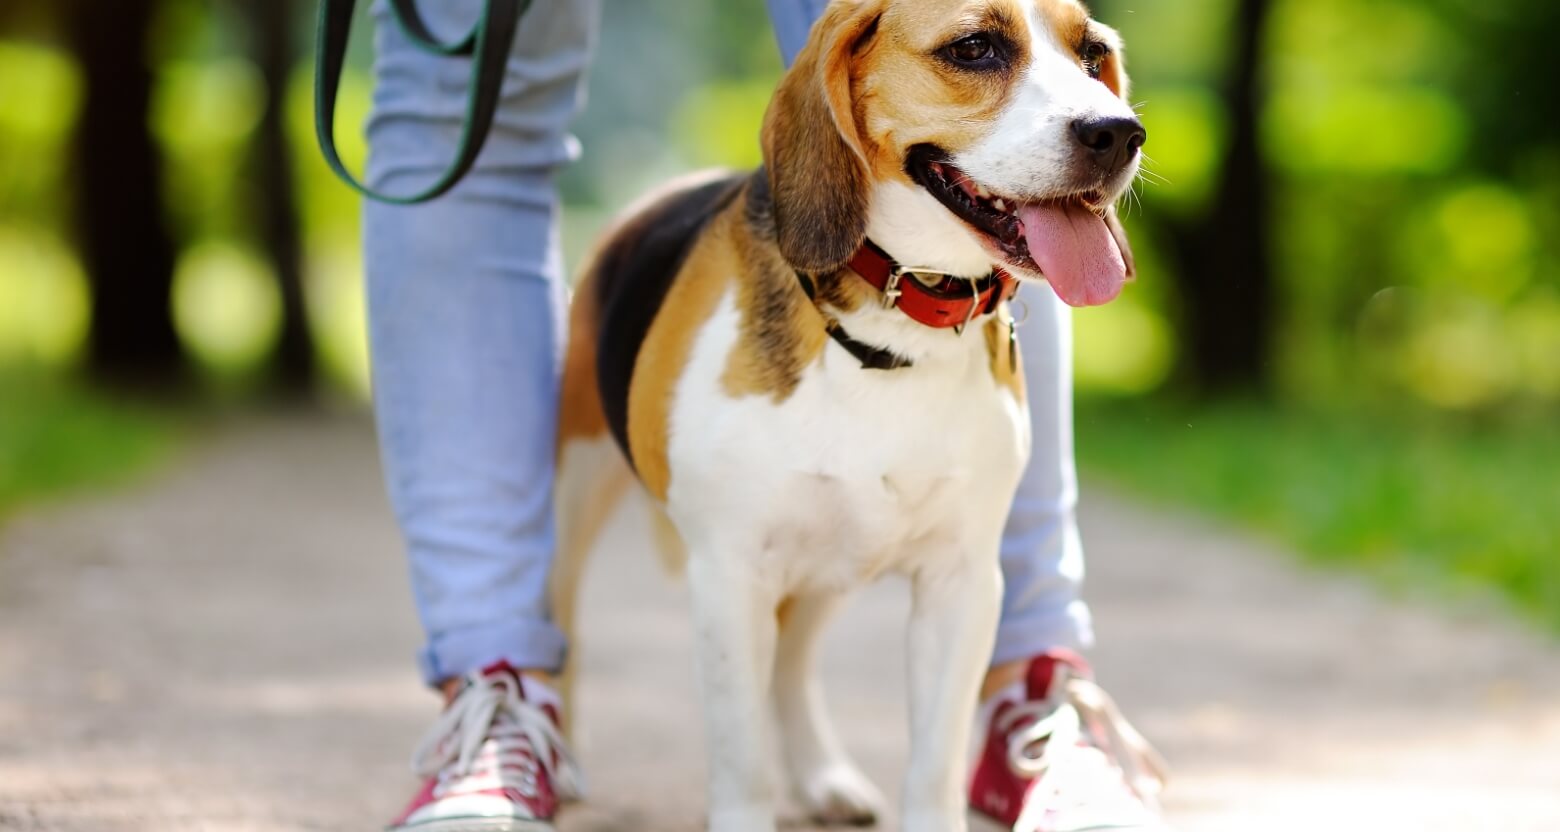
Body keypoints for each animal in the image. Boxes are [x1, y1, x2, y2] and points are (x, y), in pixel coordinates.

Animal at [555, 0, 1141, 824]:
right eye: (975, 48)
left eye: (1092, 55)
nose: (1118, 133)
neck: (895, 321)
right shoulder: (729, 573)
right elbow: (740, 761)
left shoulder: (962, 581)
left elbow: (932, 763)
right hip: (571, 492)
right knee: (560, 625)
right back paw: (562, 759)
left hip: (834, 558)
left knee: (793, 664)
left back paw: (820, 776)